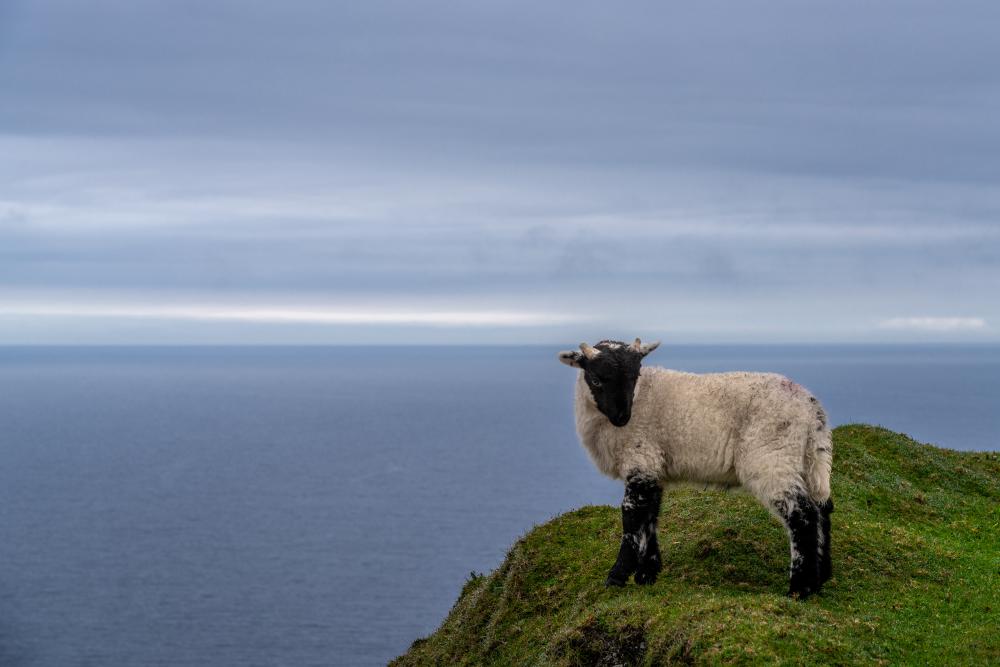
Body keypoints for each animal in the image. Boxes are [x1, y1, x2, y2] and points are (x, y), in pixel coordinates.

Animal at [560, 340, 832, 600]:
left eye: (635, 376)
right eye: (596, 379)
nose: (622, 418)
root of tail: (811, 409)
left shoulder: (641, 459)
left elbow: (631, 519)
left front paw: (617, 577)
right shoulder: (653, 468)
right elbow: (650, 517)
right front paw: (647, 574)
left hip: (772, 457)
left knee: (803, 515)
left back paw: (799, 589)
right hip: (809, 460)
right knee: (823, 507)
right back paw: (822, 578)